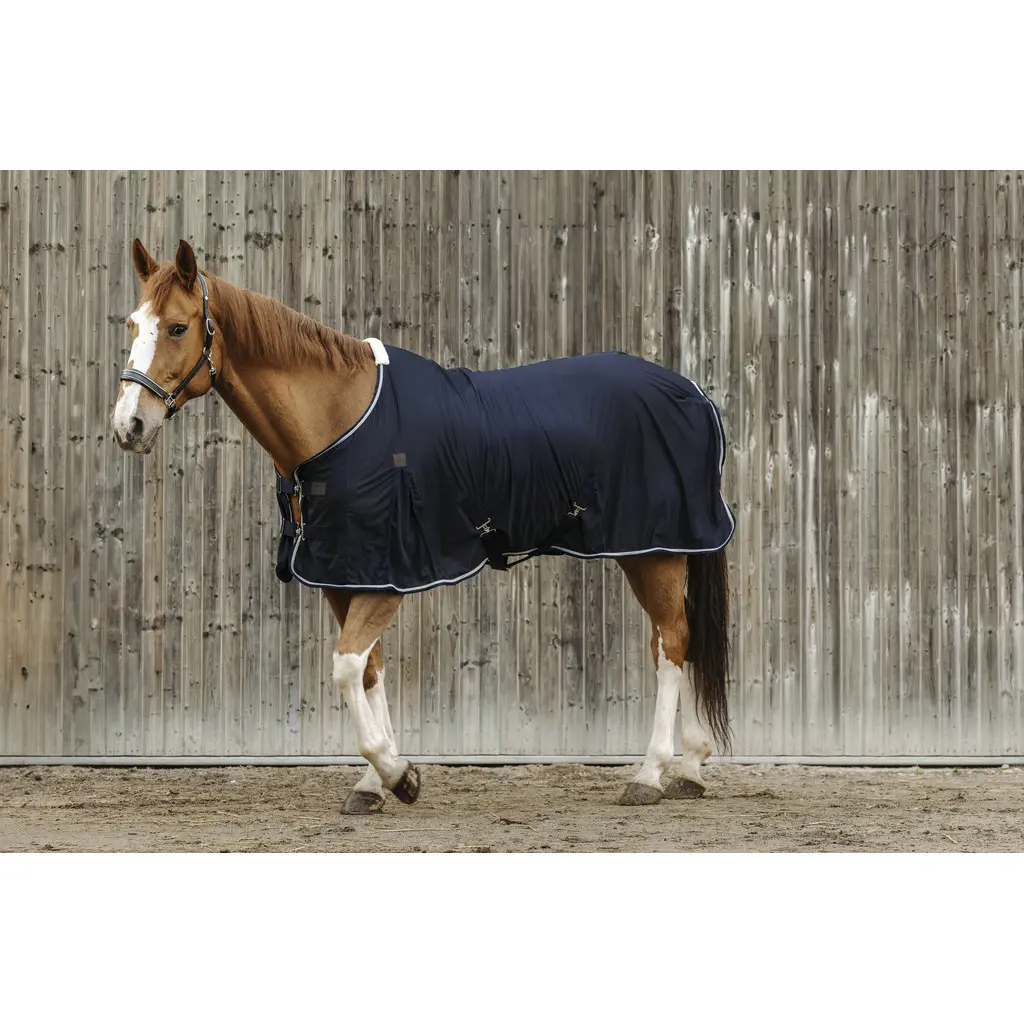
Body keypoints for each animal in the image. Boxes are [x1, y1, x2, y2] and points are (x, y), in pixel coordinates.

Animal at [110, 238, 734, 813]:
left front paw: (399, 774)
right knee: (673, 641)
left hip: (653, 551)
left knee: (673, 641)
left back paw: (650, 775)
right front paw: (372, 784)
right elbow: (369, 672)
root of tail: (691, 393)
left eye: (178, 327)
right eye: (132, 323)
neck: (339, 421)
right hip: (654, 552)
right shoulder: (349, 574)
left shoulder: (388, 575)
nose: (128, 426)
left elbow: (345, 668)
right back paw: (690, 769)